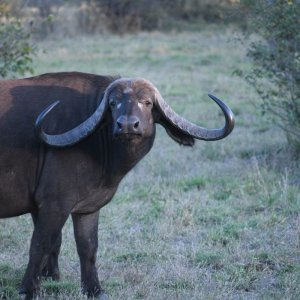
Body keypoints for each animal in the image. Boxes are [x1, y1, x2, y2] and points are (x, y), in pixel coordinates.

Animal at [0, 72, 234, 298]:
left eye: (147, 102)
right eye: (113, 103)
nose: (127, 125)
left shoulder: (87, 208)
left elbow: (87, 246)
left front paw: (93, 289)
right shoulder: (53, 204)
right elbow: (41, 244)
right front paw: (29, 289)